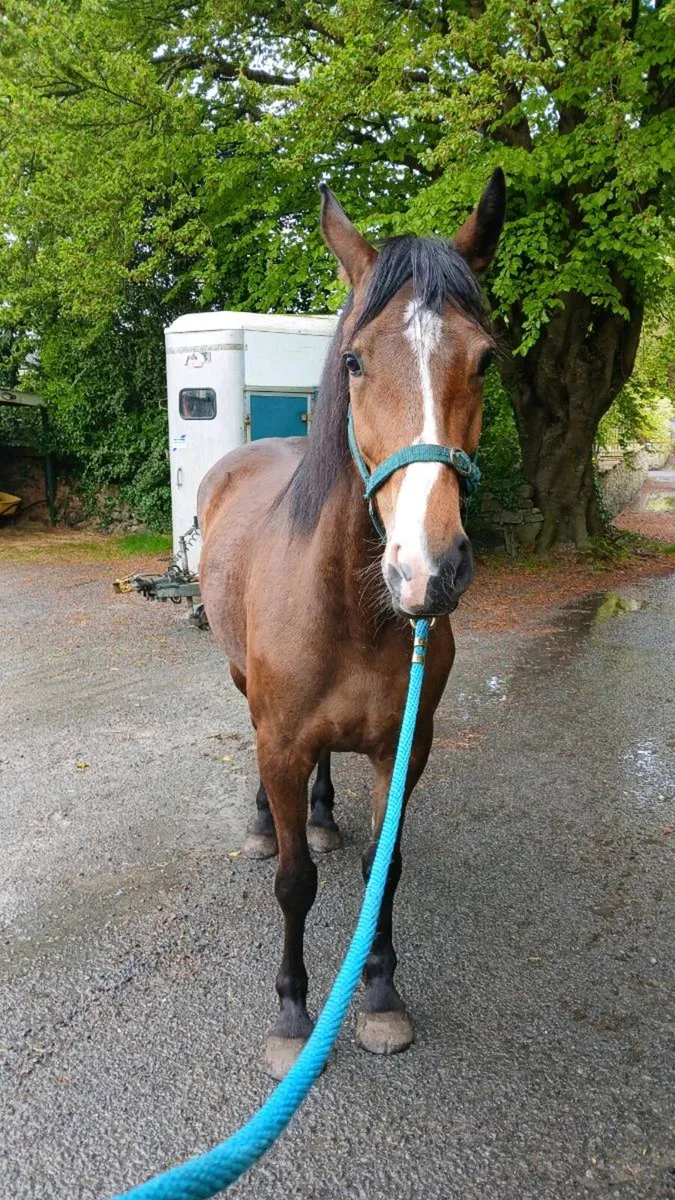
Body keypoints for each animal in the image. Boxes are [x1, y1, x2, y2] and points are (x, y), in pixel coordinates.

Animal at [198, 170, 505, 1080]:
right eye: (355, 361)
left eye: (484, 358)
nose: (427, 567)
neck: (349, 608)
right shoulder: (280, 741)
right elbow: (295, 885)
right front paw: (294, 1013)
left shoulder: (404, 742)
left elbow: (383, 867)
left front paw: (378, 995)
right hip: (247, 692)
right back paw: (269, 825)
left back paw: (325, 814)